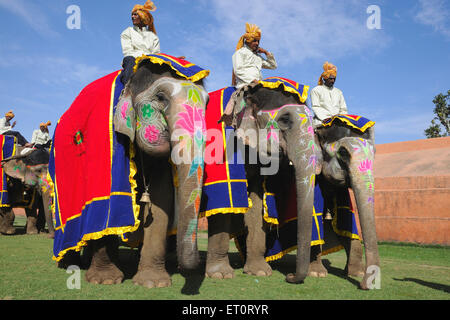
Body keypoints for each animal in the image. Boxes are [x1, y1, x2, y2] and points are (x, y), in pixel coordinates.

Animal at [82, 59, 209, 288]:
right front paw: (105, 280)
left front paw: (153, 283)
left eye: (208, 103)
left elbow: (161, 198)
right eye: (160, 98)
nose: (189, 266)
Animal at [206, 84, 314, 284]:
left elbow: (256, 203)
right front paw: (220, 275)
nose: (290, 276)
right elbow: (221, 207)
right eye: (285, 120)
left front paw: (260, 272)